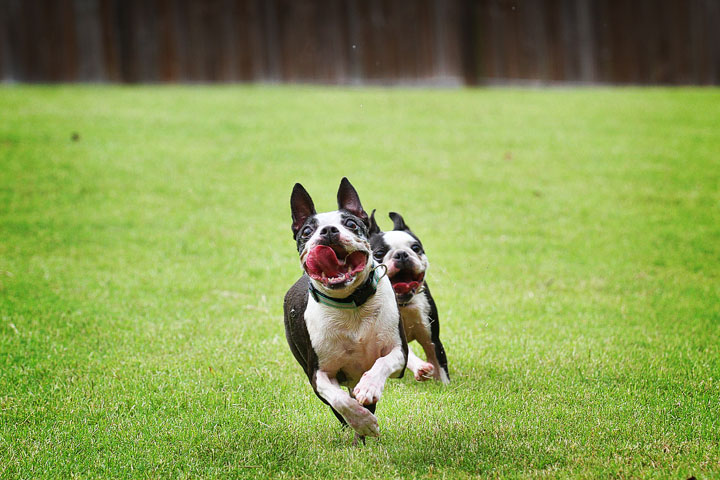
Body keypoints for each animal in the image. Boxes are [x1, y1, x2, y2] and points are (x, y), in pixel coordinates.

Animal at [284, 178, 408, 440]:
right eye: (307, 231)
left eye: (351, 224)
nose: (329, 230)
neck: (351, 302)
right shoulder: (318, 374)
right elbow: (340, 400)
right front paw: (363, 423)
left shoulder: (399, 353)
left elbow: (381, 364)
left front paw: (369, 386)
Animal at [368, 212, 448, 384]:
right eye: (378, 254)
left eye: (415, 248)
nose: (401, 254)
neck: (402, 304)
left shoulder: (432, 338)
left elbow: (440, 366)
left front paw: (445, 386)